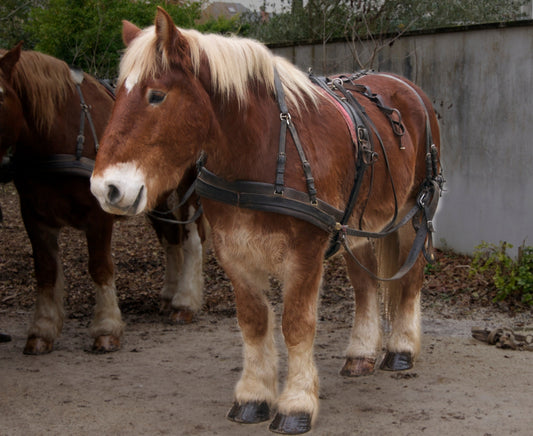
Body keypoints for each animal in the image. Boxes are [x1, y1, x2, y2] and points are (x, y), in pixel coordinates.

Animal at [0, 41, 207, 354]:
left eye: (0, 96)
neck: (62, 134)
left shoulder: (98, 214)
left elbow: (100, 267)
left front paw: (106, 328)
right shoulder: (34, 216)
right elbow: (45, 271)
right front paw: (42, 329)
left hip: (188, 185)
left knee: (191, 237)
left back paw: (185, 301)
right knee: (171, 235)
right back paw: (170, 294)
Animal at [90, 8, 440, 434]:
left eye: (156, 95)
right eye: (118, 94)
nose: (106, 188)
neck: (263, 151)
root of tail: (406, 87)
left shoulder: (305, 255)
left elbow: (296, 325)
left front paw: (296, 403)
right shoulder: (234, 252)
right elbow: (254, 323)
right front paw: (254, 396)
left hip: (412, 215)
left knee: (411, 277)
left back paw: (402, 346)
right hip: (358, 230)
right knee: (365, 285)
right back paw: (361, 352)